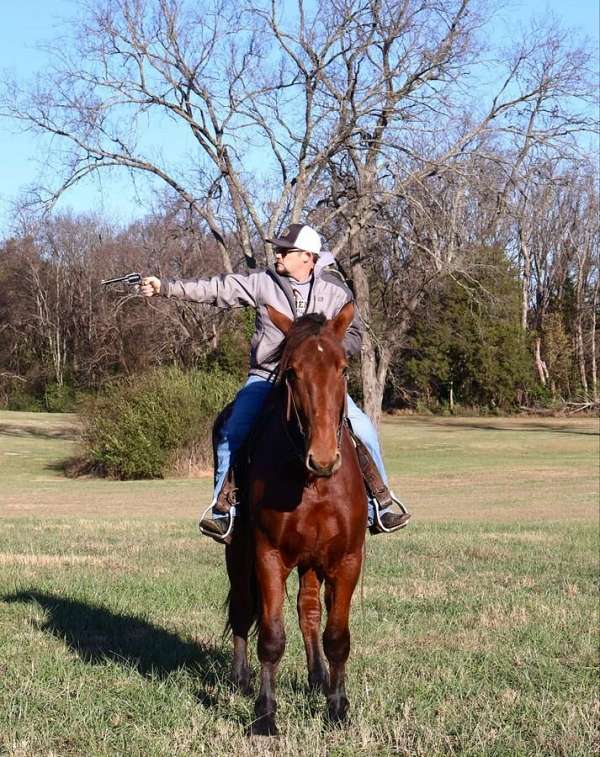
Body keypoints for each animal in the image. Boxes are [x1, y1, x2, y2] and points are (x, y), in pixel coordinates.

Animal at [224, 300, 366, 732]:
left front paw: (337, 705)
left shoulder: (347, 559)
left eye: (343, 369)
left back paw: (317, 677)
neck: (312, 484)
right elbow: (271, 636)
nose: (322, 458)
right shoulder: (268, 556)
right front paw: (265, 714)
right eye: (292, 372)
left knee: (308, 612)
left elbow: (336, 636)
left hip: (311, 562)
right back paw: (240, 678)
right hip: (238, 554)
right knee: (242, 607)